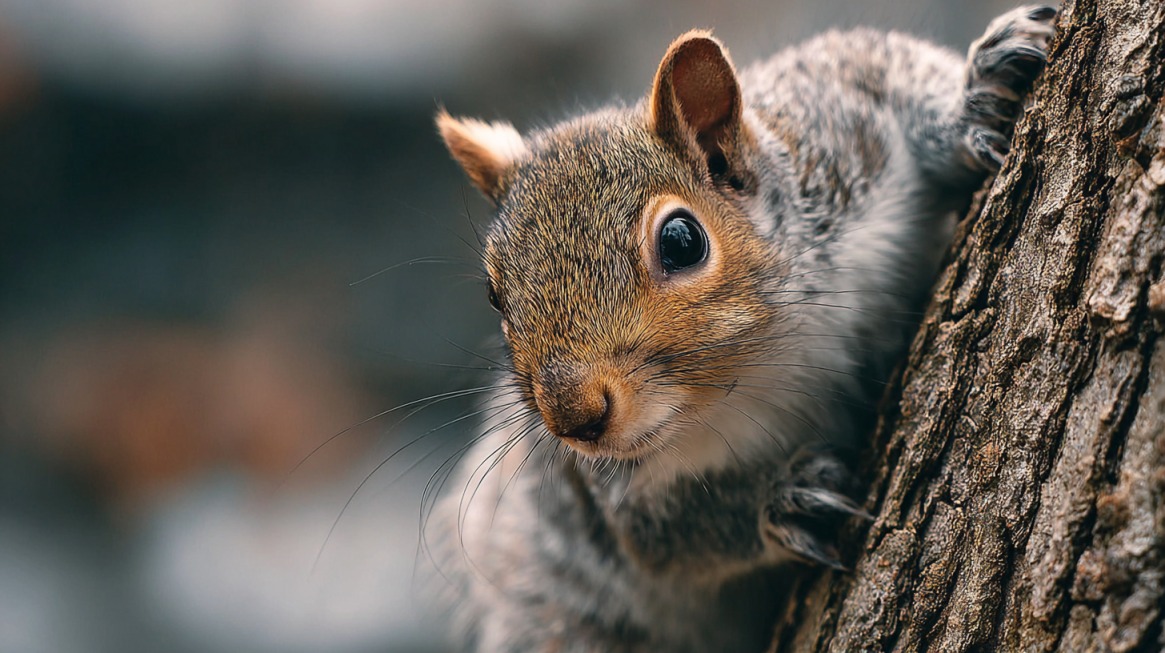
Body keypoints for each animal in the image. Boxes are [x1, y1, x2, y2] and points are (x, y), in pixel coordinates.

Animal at [430, 6, 1056, 653]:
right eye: (494, 294)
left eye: (682, 241)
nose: (574, 420)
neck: (765, 354)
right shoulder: (610, 493)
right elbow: (668, 534)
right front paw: (783, 501)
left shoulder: (836, 133)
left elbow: (884, 65)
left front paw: (973, 99)